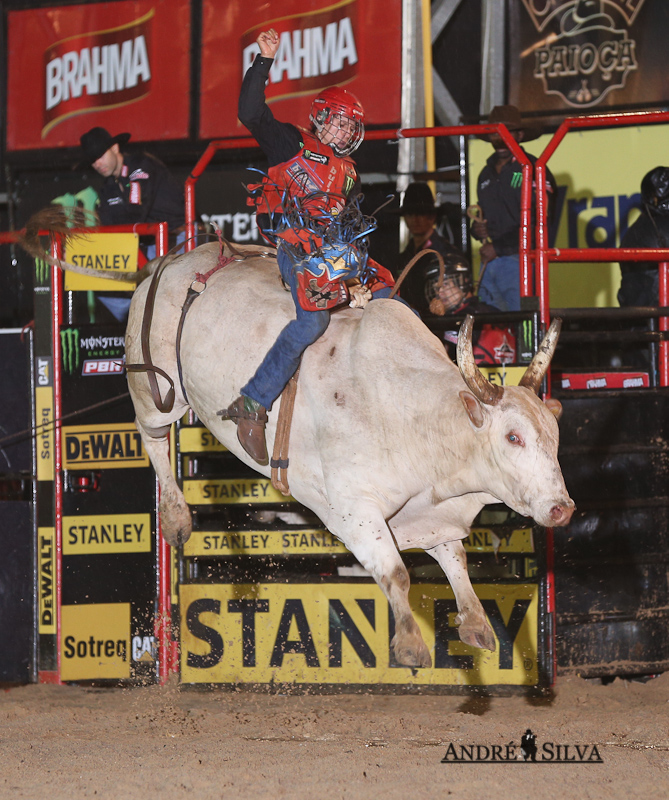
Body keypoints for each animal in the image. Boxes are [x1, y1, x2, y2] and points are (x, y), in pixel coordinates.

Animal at [121, 242, 576, 668]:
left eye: (554, 437)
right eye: (513, 437)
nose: (562, 509)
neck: (414, 413)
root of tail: (173, 262)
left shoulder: (429, 513)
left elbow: (455, 560)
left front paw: (477, 623)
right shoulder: (355, 512)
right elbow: (396, 573)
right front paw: (410, 645)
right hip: (153, 387)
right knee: (153, 435)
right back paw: (177, 519)